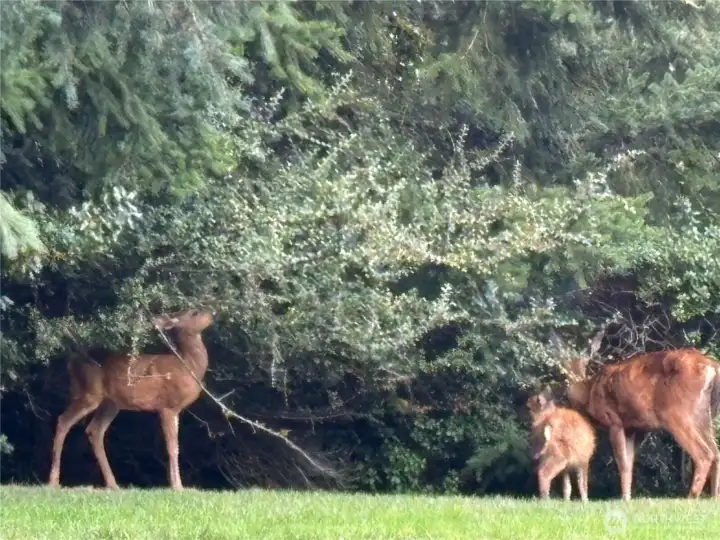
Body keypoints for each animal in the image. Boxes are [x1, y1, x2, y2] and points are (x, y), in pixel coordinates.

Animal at [47, 309, 214, 491]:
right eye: (194, 312)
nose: (211, 313)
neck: (188, 366)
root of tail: (72, 361)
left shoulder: (175, 410)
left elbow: (176, 447)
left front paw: (178, 485)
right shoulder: (167, 406)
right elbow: (171, 447)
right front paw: (176, 486)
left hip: (110, 403)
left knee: (95, 430)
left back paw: (113, 484)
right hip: (90, 393)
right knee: (64, 421)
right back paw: (53, 481)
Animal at [553, 327, 720, 501]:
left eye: (584, 363)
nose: (569, 385)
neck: (589, 393)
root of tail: (712, 367)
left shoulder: (614, 420)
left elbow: (622, 462)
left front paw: (624, 498)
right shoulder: (633, 428)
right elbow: (630, 462)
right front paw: (628, 496)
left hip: (677, 413)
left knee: (704, 453)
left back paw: (691, 497)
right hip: (704, 415)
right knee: (716, 452)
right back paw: (714, 496)